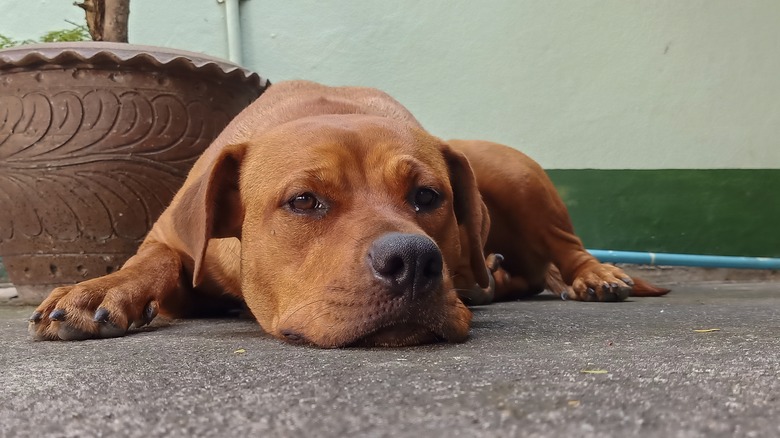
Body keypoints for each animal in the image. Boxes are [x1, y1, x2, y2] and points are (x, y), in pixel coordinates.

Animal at [27, 80, 668, 348]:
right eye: (304, 201)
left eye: (428, 197)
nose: (414, 260)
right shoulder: (175, 241)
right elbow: (152, 262)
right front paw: (97, 288)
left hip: (510, 171)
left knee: (562, 248)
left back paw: (596, 276)